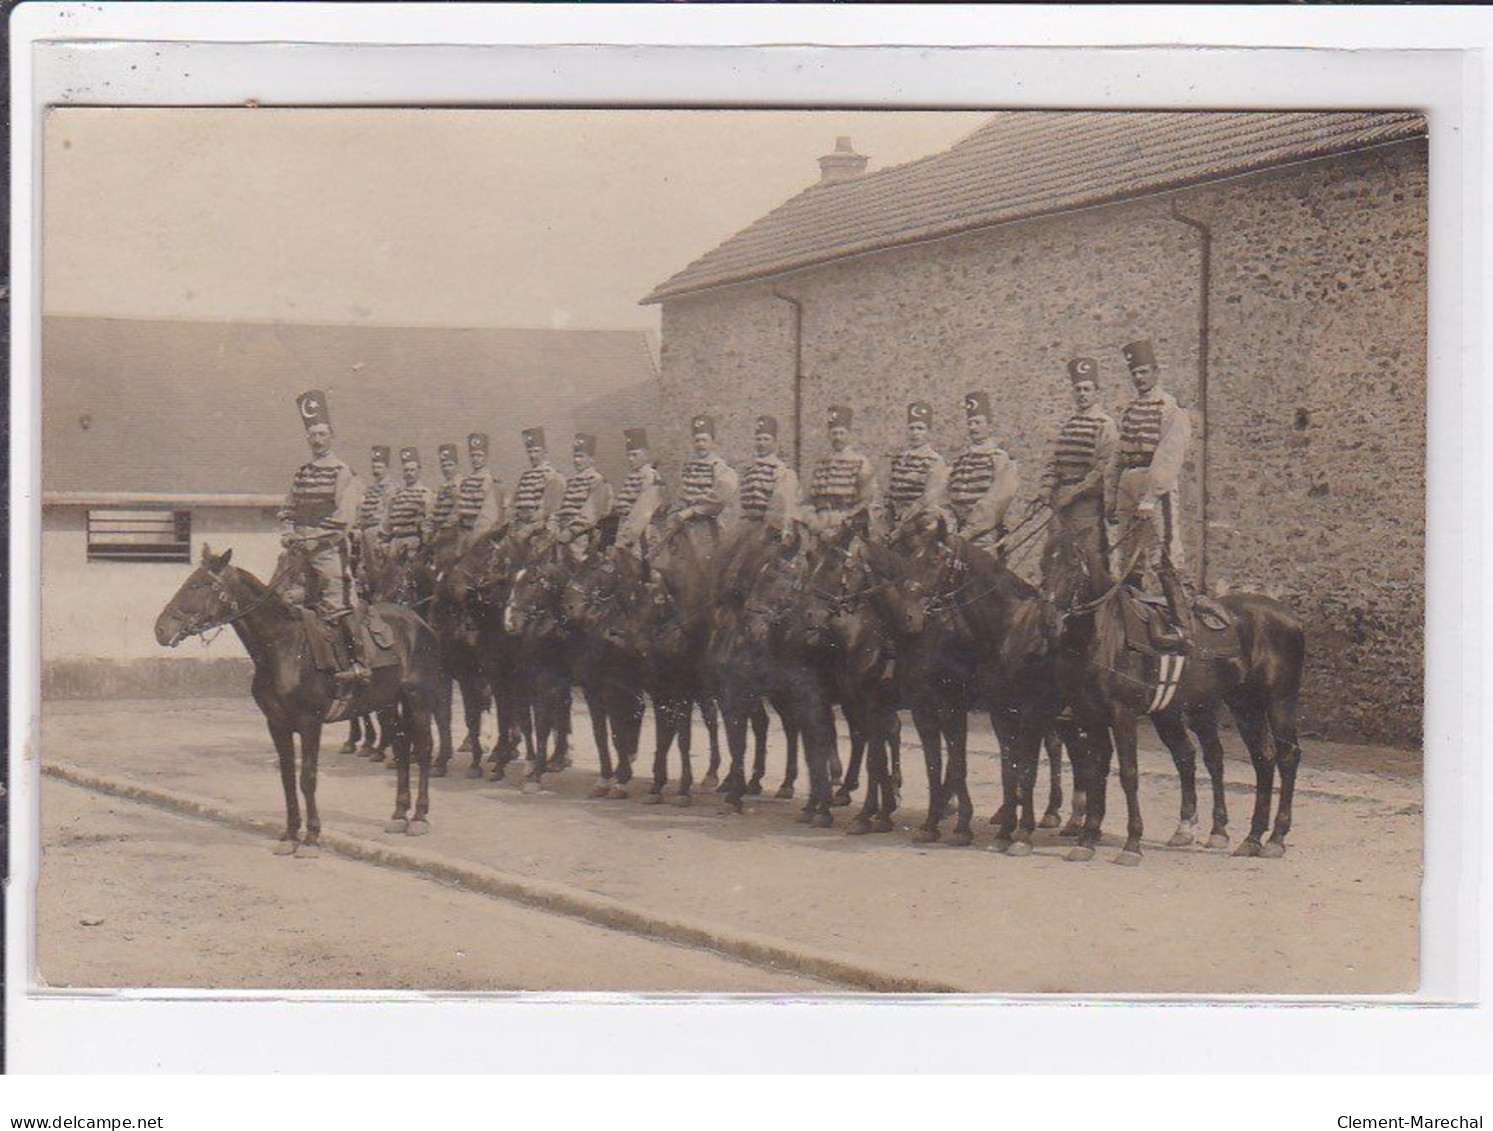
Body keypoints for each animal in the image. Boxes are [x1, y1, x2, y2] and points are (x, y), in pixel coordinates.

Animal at [153, 546, 441, 853]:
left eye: (200, 585)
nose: (160, 630)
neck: (283, 647)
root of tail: (418, 622)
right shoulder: (277, 724)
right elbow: (287, 778)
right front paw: (291, 833)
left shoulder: (309, 723)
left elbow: (307, 778)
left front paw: (312, 834)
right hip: (386, 704)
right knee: (401, 747)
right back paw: (399, 814)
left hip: (418, 699)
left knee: (423, 749)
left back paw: (419, 817)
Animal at [1039, 537, 1307, 865]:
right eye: (1043, 563)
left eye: (1072, 567)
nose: (1049, 622)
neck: (1105, 636)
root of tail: (1290, 617)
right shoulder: (1090, 717)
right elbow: (1096, 772)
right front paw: (1087, 838)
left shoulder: (1122, 715)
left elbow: (1128, 774)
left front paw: (1132, 844)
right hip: (1244, 704)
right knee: (1262, 757)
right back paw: (1253, 838)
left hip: (1279, 701)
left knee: (1287, 756)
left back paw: (1276, 838)